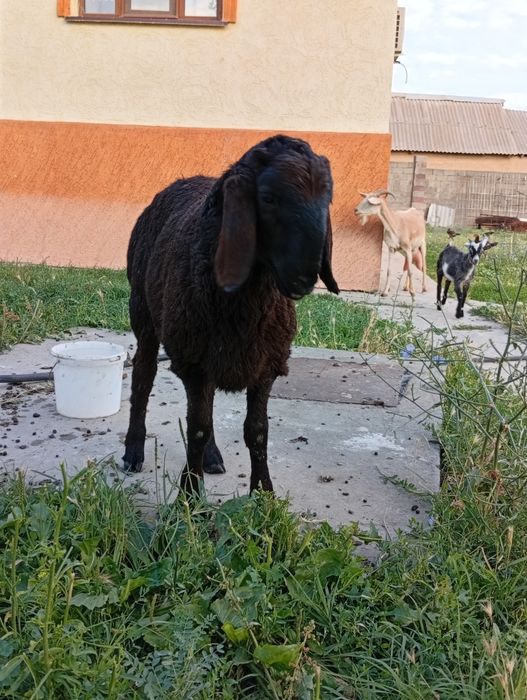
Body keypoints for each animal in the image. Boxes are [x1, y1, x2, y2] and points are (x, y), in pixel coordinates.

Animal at [122, 135, 339, 495]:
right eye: (268, 198)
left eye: (328, 199)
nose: (304, 277)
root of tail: (184, 179)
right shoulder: (194, 363)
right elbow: (197, 428)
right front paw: (190, 495)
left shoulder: (265, 364)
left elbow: (257, 431)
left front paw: (263, 493)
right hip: (143, 312)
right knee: (143, 377)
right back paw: (133, 450)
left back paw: (212, 458)